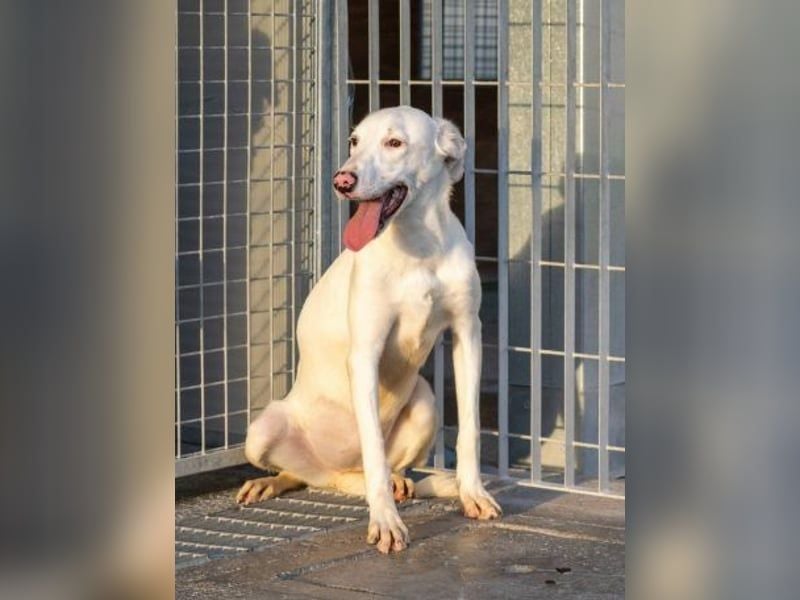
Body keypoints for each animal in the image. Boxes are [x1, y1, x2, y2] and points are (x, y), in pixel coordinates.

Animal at [236, 106, 501, 554]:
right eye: (354, 142)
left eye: (395, 143)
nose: (342, 181)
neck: (419, 247)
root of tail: (336, 467)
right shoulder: (366, 352)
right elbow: (374, 447)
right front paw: (386, 523)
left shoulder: (468, 334)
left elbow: (470, 429)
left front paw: (472, 492)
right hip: (262, 431)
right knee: (313, 475)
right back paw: (270, 483)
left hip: (425, 402)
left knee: (386, 474)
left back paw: (410, 484)